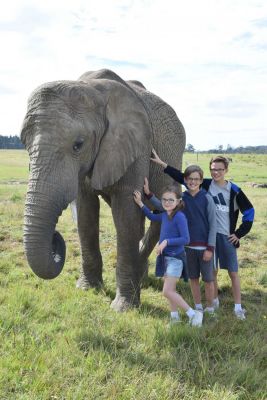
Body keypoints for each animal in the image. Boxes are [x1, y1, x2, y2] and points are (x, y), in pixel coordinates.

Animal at [20, 69, 186, 312]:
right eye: (23, 143)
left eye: (78, 145)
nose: (55, 237)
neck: (93, 90)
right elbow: (86, 214)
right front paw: (87, 289)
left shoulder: (136, 144)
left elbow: (126, 215)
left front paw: (123, 308)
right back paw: (142, 280)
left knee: (159, 216)